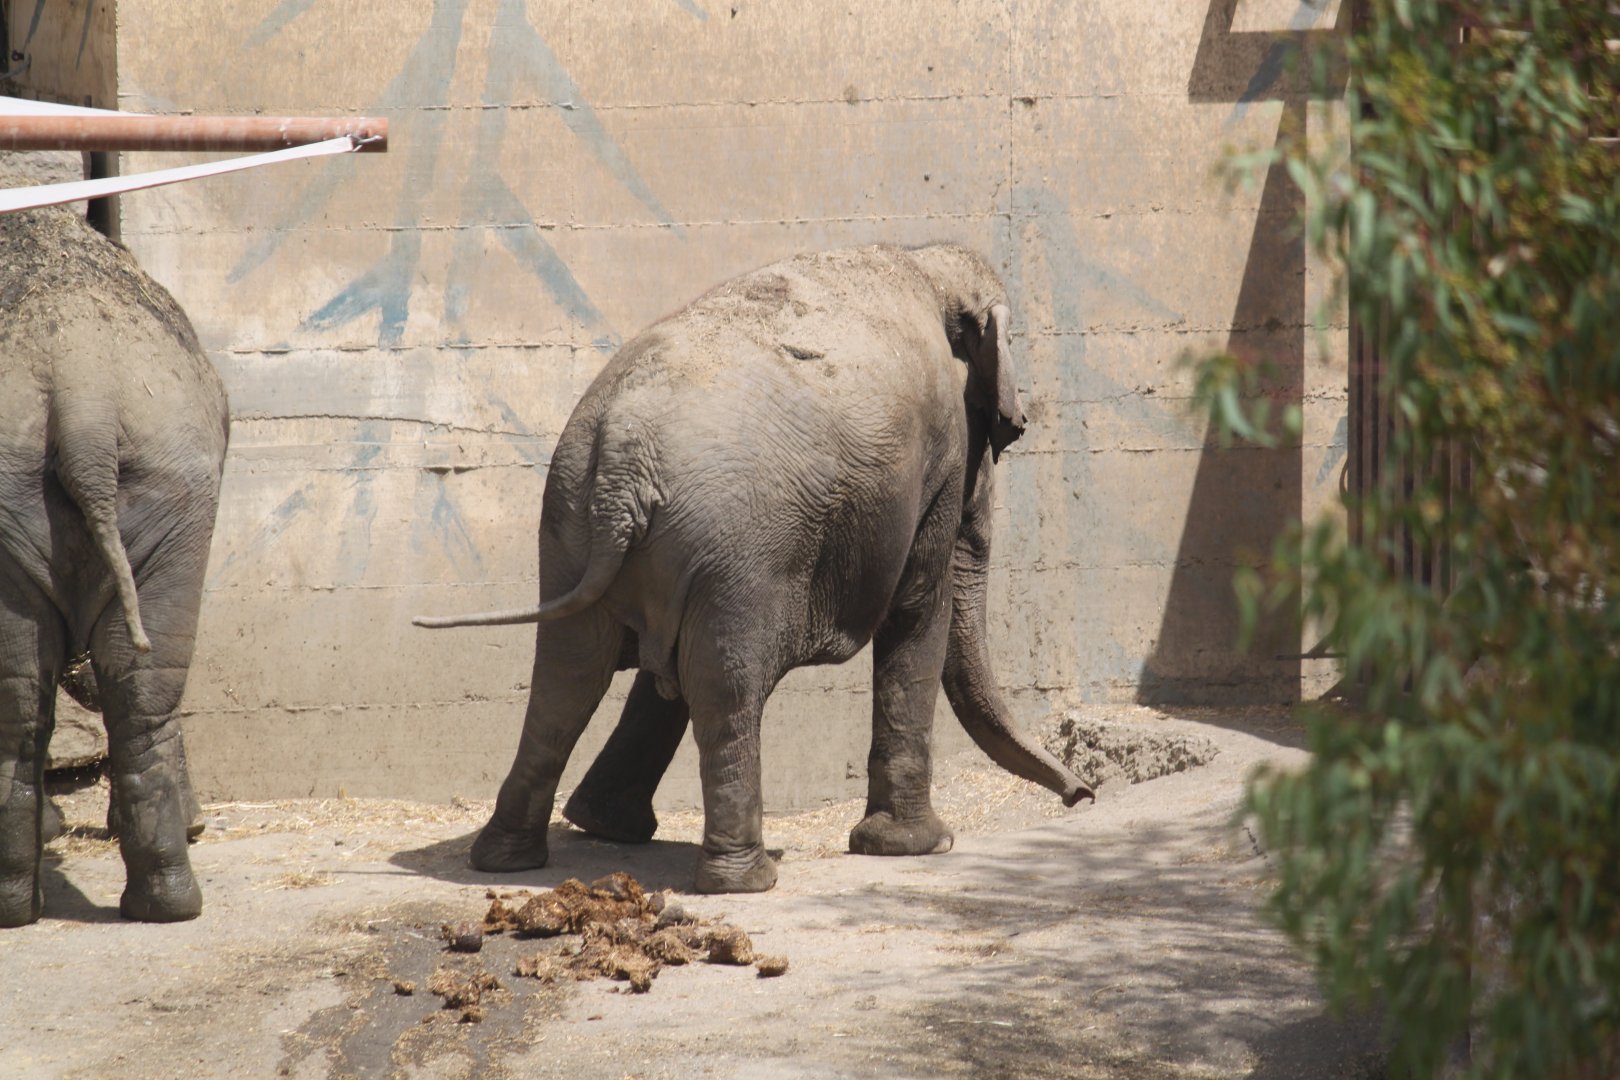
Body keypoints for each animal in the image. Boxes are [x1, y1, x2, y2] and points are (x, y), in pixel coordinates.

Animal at [416, 242, 1093, 894]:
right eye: (1003, 432)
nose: (1082, 796)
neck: (928, 264)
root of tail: (623, 462)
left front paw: (604, 824)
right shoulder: (940, 457)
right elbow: (919, 606)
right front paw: (921, 846)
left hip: (578, 532)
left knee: (568, 678)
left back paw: (508, 859)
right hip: (736, 551)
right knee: (725, 684)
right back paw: (746, 880)